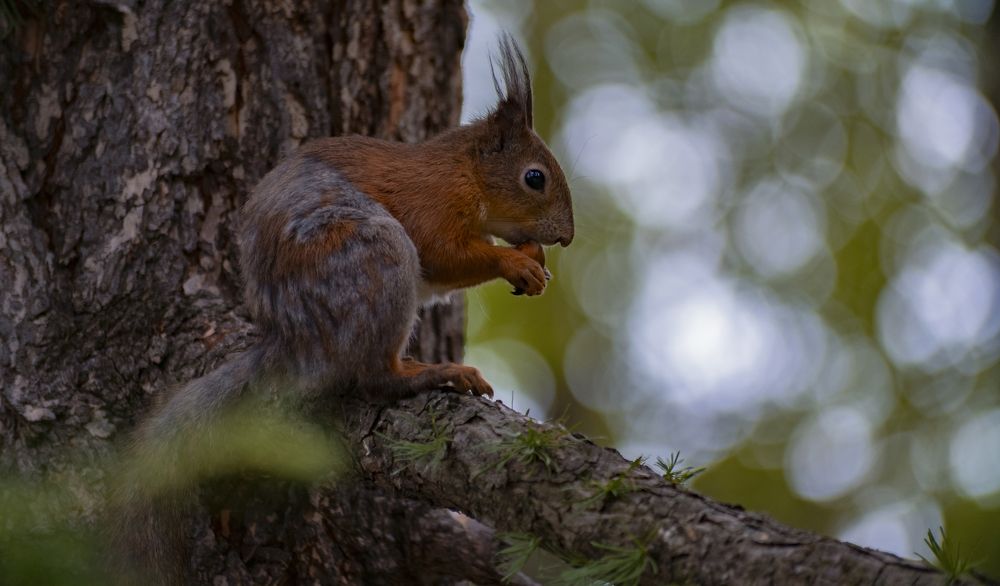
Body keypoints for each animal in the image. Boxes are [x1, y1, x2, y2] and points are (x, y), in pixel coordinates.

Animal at [110, 35, 574, 584]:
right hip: (373, 256)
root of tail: (293, 341)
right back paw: (432, 373)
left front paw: (534, 257)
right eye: (534, 178)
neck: (465, 172)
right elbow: (444, 253)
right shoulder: (433, 205)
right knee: (373, 377)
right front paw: (515, 261)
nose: (567, 236)